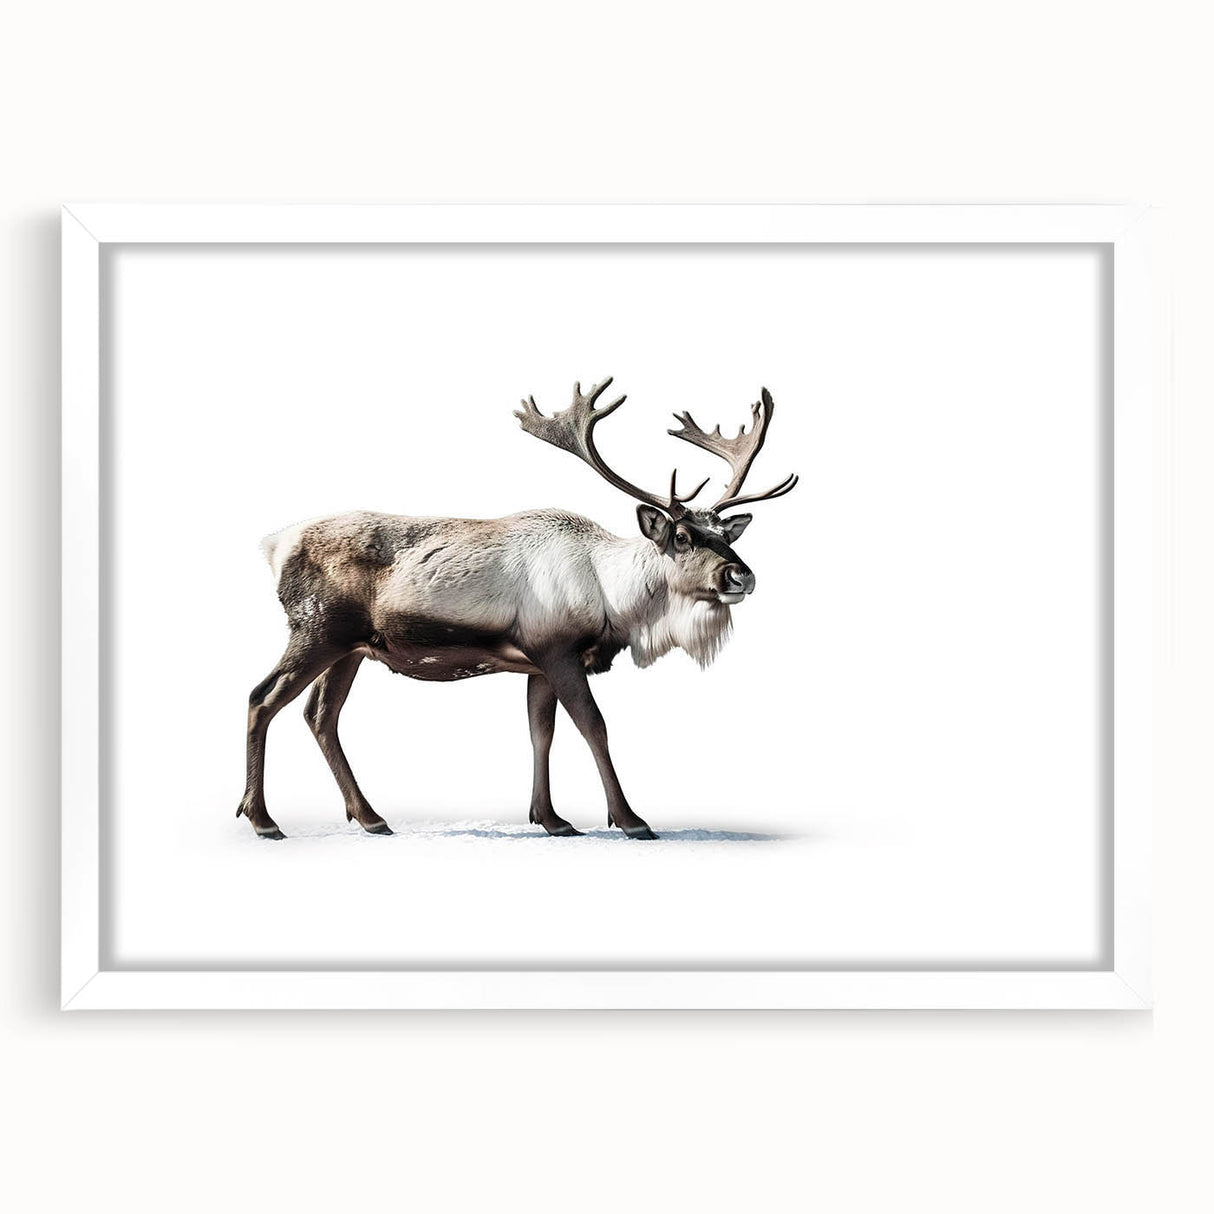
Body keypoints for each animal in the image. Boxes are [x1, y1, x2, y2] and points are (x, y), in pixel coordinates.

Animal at [237, 379, 798, 840]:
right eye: (681, 536)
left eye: (727, 535)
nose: (741, 576)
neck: (612, 598)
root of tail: (273, 545)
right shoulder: (559, 651)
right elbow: (594, 726)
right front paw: (631, 820)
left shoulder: (537, 664)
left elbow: (539, 732)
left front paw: (552, 819)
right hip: (317, 630)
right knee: (263, 698)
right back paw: (264, 821)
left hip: (352, 648)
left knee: (320, 714)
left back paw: (371, 817)